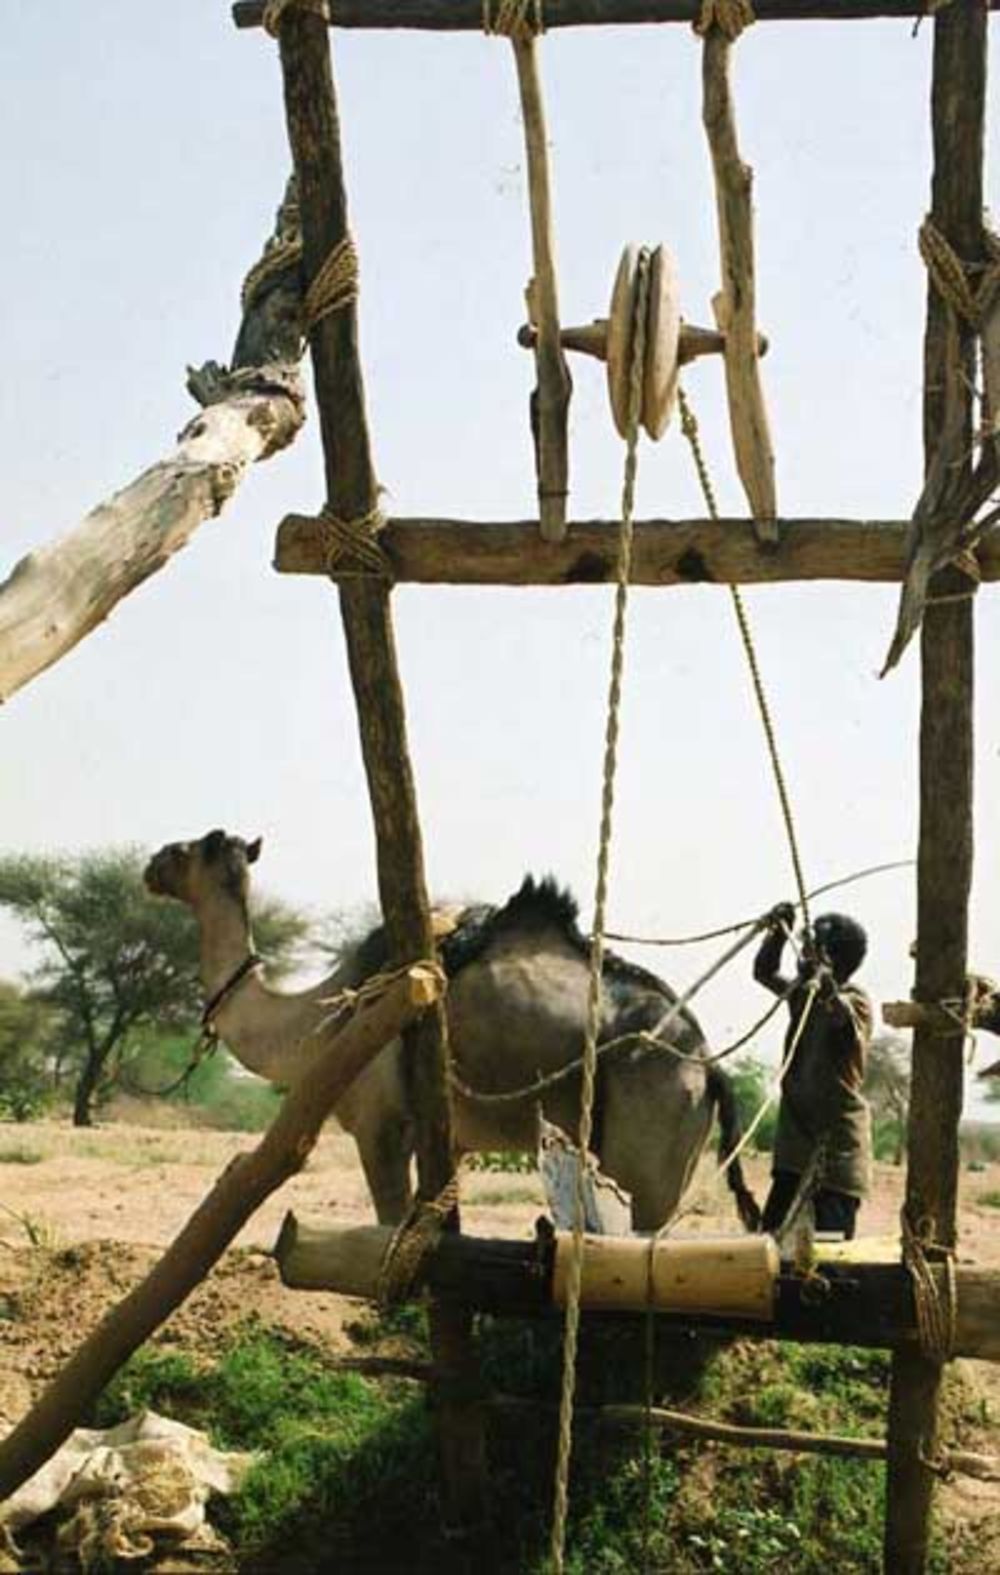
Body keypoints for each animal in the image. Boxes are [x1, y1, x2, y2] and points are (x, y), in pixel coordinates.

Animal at [144, 831, 759, 1234]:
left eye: (188, 849)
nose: (151, 863)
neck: (321, 1019)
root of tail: (709, 1067)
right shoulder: (448, 1136)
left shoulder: (380, 1125)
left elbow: (387, 1225)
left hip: (652, 1132)